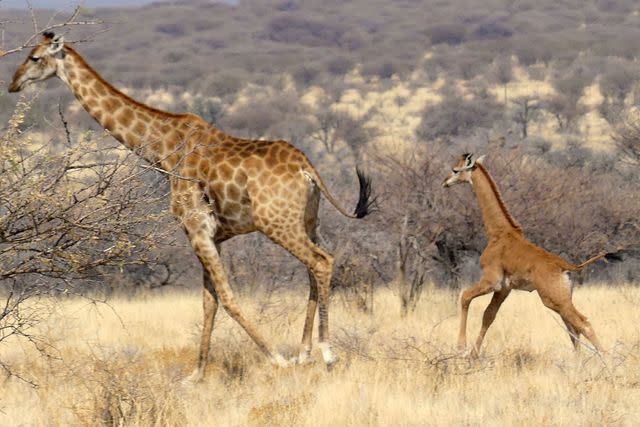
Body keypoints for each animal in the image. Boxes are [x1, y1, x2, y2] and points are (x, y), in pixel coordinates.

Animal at [8, 32, 376, 382]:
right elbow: (208, 302)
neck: (162, 150)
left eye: (35, 58)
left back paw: (325, 353)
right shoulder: (212, 236)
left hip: (277, 222)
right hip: (307, 220)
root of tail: (306, 168)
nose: (13, 84)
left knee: (321, 262)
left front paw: (276, 360)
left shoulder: (196, 229)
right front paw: (196, 375)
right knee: (313, 269)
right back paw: (304, 353)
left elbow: (226, 297)